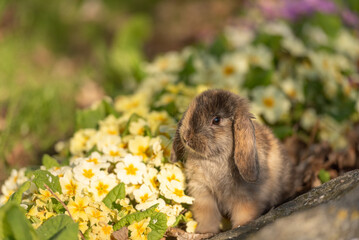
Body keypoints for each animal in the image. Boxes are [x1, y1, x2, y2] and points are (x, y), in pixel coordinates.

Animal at [172, 89, 296, 233]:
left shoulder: (245, 195)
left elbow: (244, 212)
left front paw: (240, 226)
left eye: (216, 120)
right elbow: (207, 215)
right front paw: (205, 232)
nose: (186, 137)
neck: (214, 158)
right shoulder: (202, 191)